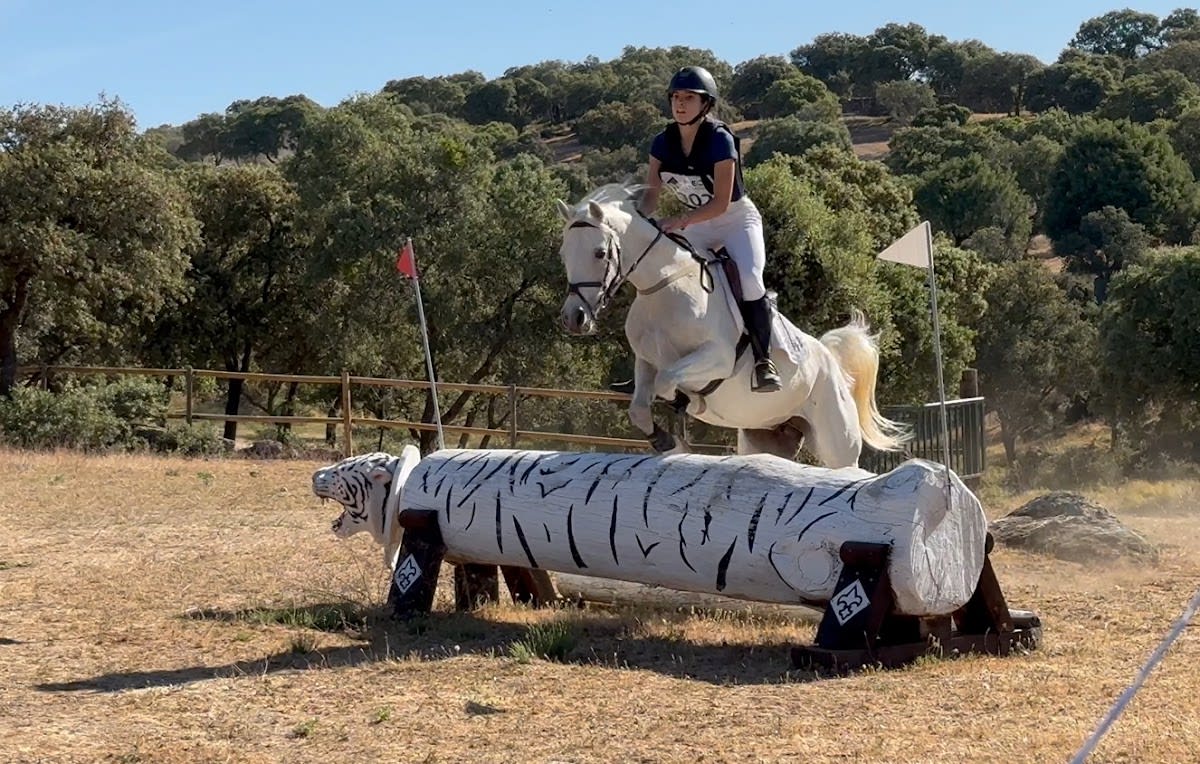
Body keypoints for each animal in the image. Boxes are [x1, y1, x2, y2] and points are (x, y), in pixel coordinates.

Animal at [554, 182, 910, 469]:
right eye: (563, 254)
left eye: (600, 253)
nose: (574, 317)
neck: (662, 286)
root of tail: (832, 361)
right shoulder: (645, 362)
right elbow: (639, 408)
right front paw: (666, 440)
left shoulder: (717, 358)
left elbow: (668, 382)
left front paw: (685, 407)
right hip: (764, 436)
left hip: (837, 444)